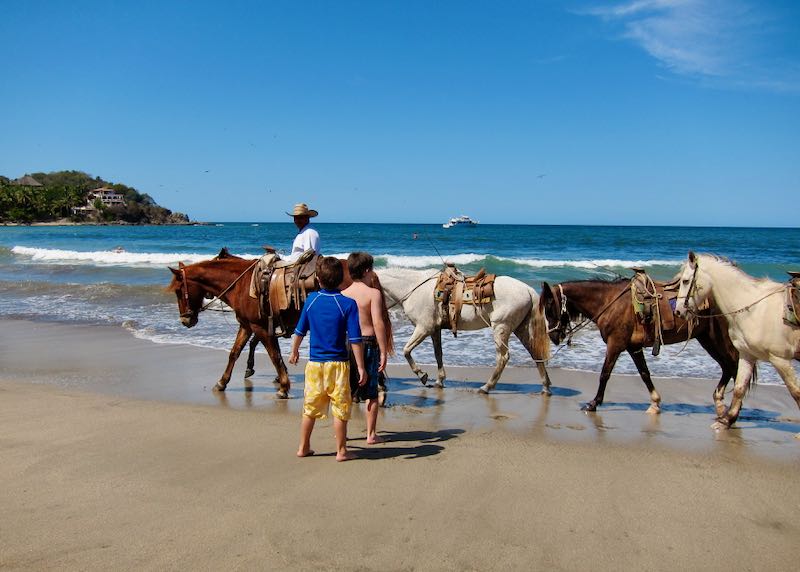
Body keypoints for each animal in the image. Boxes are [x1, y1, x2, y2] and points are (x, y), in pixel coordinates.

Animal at [376, 268, 552, 394]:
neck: (414, 289)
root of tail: (528, 289)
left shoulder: (424, 328)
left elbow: (406, 351)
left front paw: (422, 375)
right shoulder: (434, 330)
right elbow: (438, 354)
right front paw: (439, 380)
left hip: (501, 328)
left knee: (503, 357)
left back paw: (486, 387)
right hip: (521, 329)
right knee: (535, 354)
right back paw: (545, 387)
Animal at [536, 280, 736, 414]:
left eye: (549, 306)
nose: (553, 336)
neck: (609, 302)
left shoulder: (615, 344)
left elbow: (605, 374)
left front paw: (593, 403)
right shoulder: (633, 347)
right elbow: (644, 373)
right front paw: (655, 403)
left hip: (719, 340)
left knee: (733, 366)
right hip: (707, 339)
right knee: (729, 367)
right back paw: (722, 403)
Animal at [676, 252, 800, 432]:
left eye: (685, 281)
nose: (678, 311)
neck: (754, 310)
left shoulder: (780, 359)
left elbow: (796, 392)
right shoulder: (747, 355)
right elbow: (739, 389)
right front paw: (726, 420)